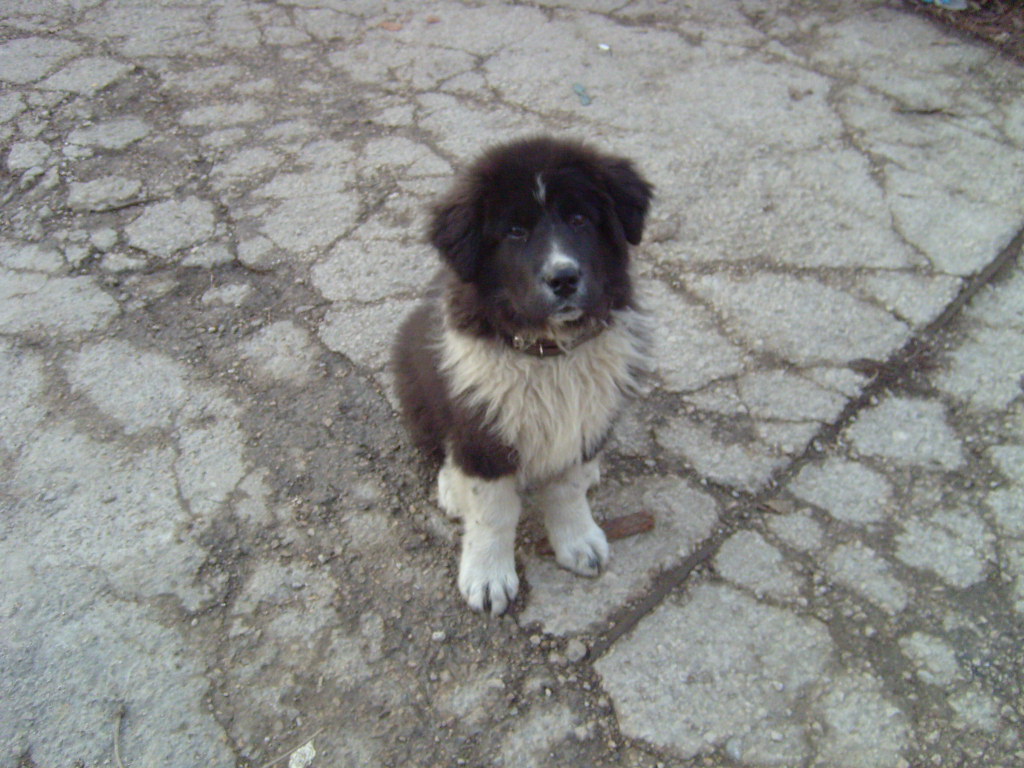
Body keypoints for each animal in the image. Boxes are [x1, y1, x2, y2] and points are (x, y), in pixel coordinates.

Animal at [392, 136, 653, 615]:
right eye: (514, 232)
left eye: (579, 219)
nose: (564, 277)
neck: (548, 353)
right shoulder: (483, 429)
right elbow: (492, 513)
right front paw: (487, 577)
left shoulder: (582, 414)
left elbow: (567, 488)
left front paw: (578, 541)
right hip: (413, 378)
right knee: (439, 446)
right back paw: (451, 487)